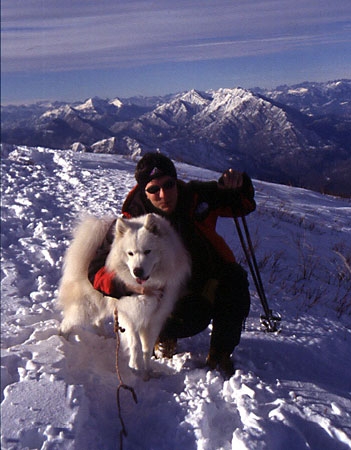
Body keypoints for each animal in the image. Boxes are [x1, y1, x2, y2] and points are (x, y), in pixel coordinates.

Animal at [58, 214, 191, 376]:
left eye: (148, 251)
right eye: (130, 253)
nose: (137, 271)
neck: (146, 287)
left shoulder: (154, 319)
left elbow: (147, 349)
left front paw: (148, 372)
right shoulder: (128, 315)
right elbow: (135, 344)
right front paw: (135, 367)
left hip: (104, 303)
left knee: (97, 321)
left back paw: (104, 336)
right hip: (87, 306)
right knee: (67, 322)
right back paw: (62, 340)